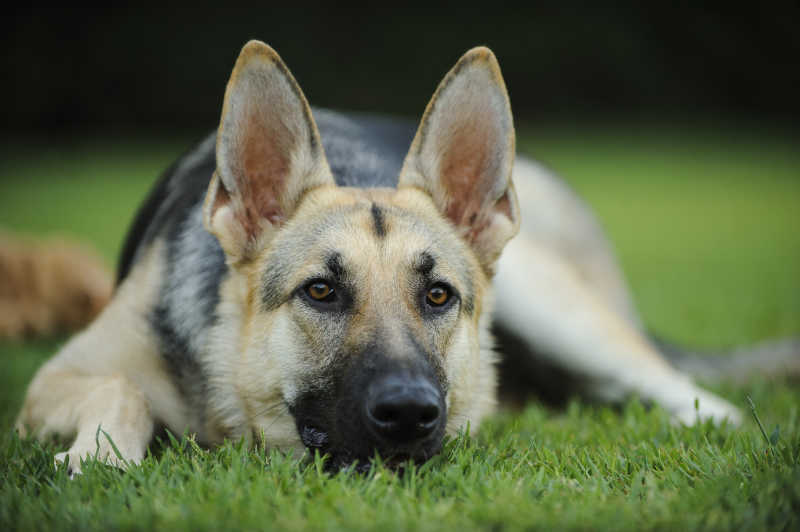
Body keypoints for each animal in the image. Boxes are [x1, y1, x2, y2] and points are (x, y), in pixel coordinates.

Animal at [14, 41, 792, 474]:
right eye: (321, 291)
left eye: (439, 295)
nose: (412, 413)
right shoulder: (53, 380)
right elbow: (124, 390)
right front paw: (96, 458)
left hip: (555, 307)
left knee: (700, 401)